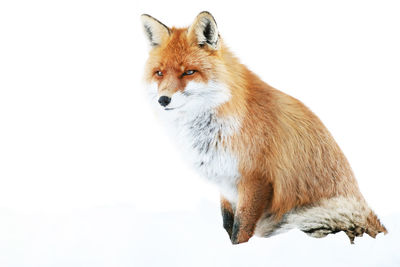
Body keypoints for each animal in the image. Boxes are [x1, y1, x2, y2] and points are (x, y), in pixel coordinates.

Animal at [141, 11, 388, 245]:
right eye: (159, 73)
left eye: (189, 72)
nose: (163, 100)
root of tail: (382, 230)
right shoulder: (225, 182)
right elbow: (227, 224)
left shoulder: (255, 180)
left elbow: (240, 230)